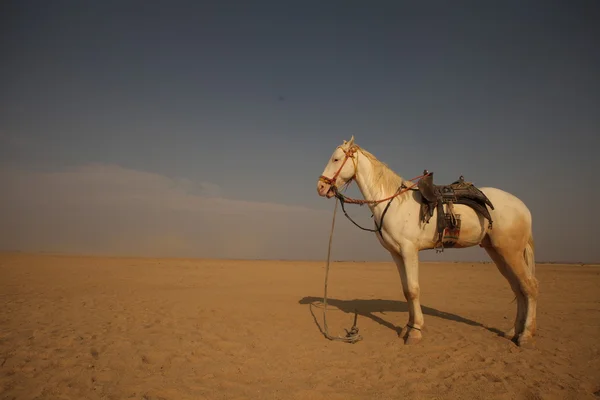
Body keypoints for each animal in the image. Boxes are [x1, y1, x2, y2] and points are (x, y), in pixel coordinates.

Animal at [318, 137, 540, 346]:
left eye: (336, 159)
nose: (321, 187)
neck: (394, 202)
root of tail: (523, 207)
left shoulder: (409, 250)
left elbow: (413, 289)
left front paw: (415, 332)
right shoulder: (396, 254)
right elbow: (406, 290)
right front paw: (408, 327)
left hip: (510, 251)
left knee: (529, 286)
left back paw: (526, 335)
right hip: (497, 252)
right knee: (518, 287)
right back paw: (513, 332)